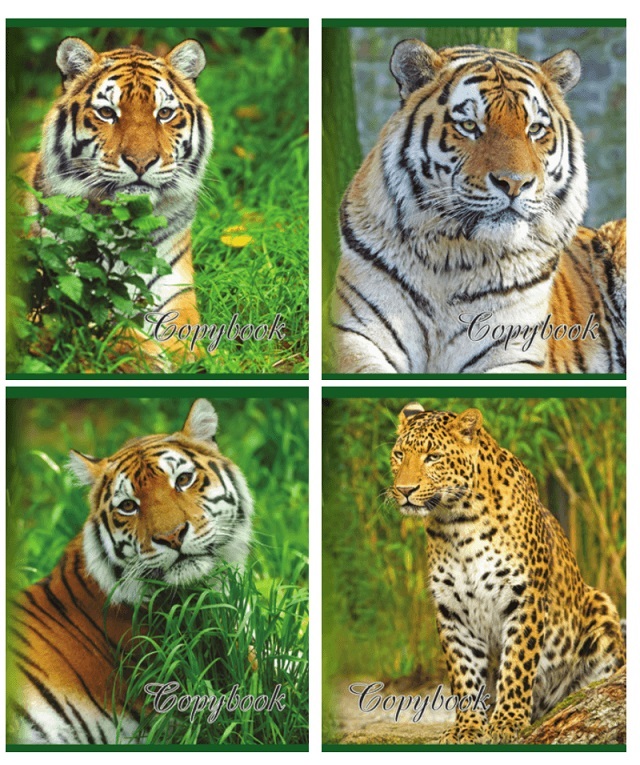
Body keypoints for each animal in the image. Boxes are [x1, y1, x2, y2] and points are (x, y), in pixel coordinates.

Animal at [22, 37, 213, 371]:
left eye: (164, 113)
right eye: (107, 112)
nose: (141, 162)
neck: (128, 226)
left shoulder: (175, 291)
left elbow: (187, 328)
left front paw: (194, 357)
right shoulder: (58, 293)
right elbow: (105, 321)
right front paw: (146, 357)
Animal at [330, 39, 626, 374]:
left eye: (535, 129)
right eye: (470, 126)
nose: (515, 183)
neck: (449, 257)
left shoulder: (513, 351)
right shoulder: (357, 334)